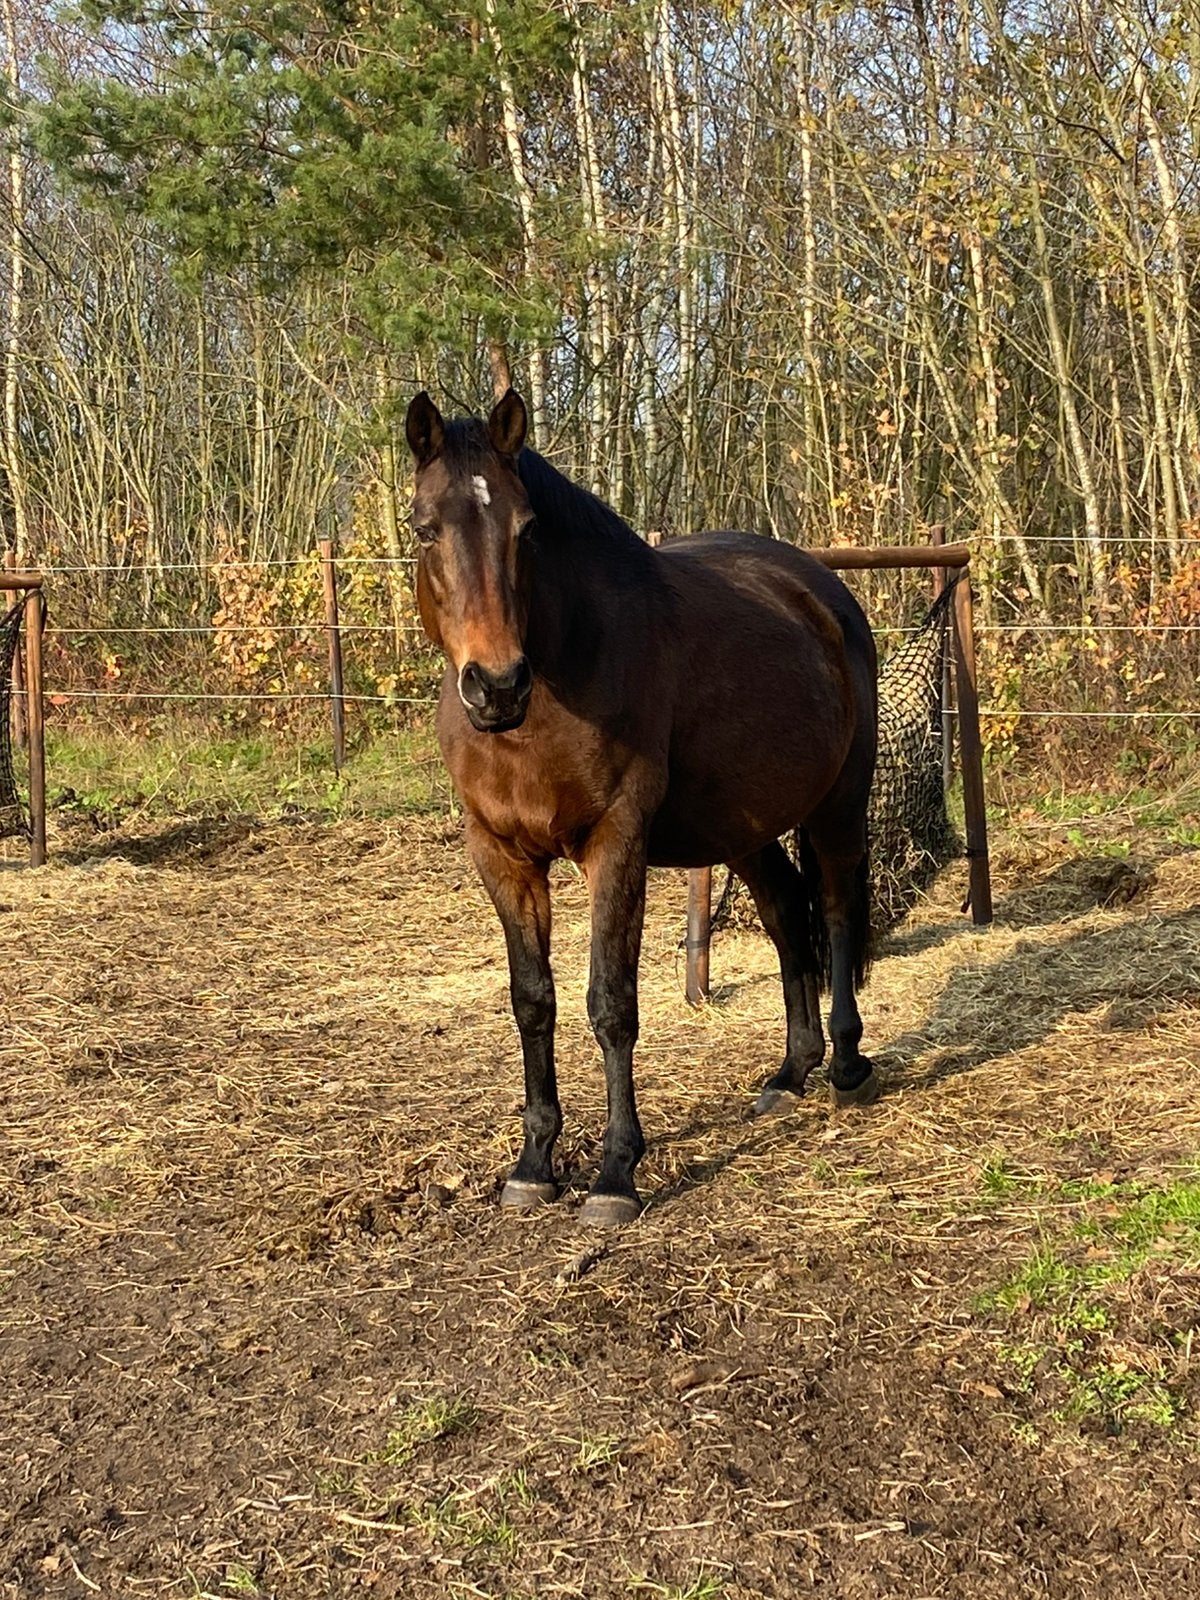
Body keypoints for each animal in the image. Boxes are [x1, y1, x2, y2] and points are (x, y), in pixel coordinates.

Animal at [405, 389, 879, 1226]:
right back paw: (790, 1073)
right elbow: (533, 1001)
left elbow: (610, 1003)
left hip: (836, 804)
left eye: (526, 530)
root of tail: (824, 593)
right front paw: (533, 1164)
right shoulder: (501, 856)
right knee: (789, 916)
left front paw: (615, 1174)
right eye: (426, 527)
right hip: (744, 828)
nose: (496, 686)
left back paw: (848, 1063)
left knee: (836, 906)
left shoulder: (616, 844)